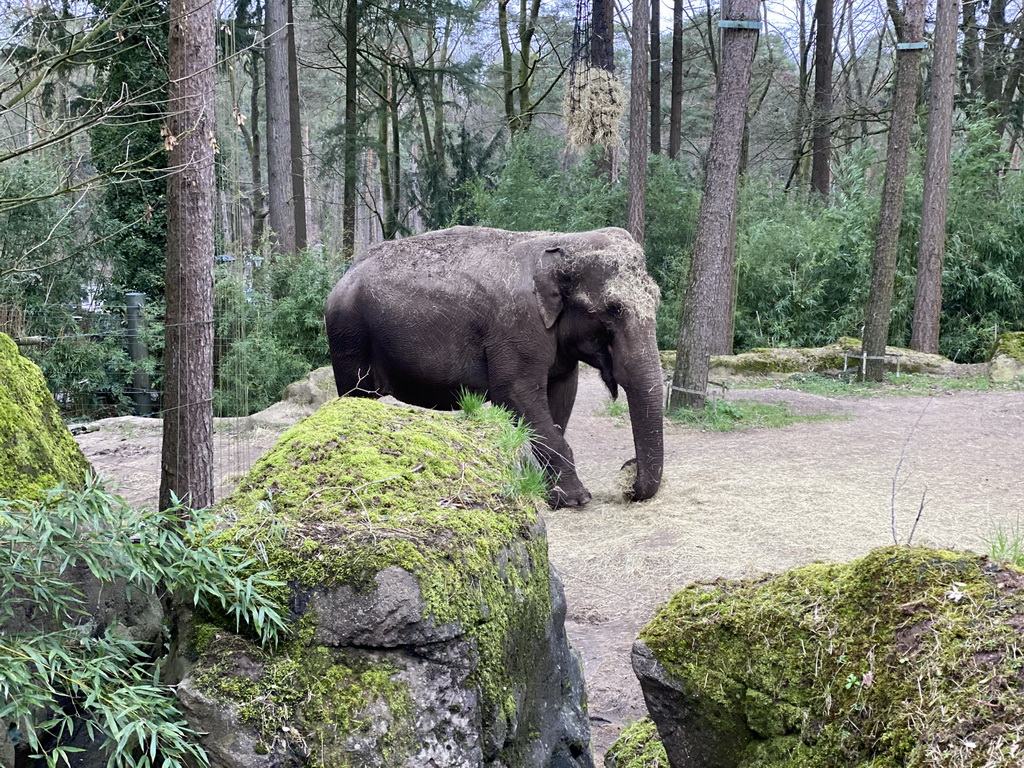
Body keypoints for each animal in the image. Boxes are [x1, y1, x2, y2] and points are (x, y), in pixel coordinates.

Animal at [323, 225, 667, 507]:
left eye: (657, 300)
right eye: (613, 309)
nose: (627, 477)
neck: (562, 243)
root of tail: (344, 276)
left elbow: (562, 395)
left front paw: (551, 494)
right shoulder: (516, 326)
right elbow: (515, 393)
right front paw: (577, 499)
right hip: (349, 336)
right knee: (357, 395)